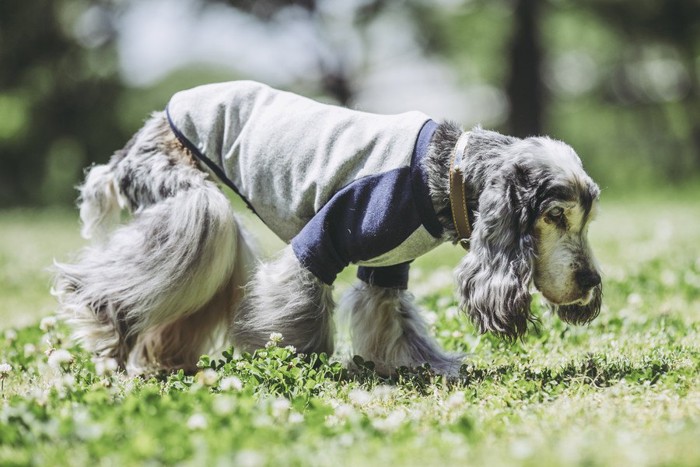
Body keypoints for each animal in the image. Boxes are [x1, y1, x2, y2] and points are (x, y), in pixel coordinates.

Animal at [53, 80, 600, 376]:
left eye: (588, 218)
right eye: (554, 216)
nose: (592, 281)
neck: (445, 172)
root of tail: (141, 134)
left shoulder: (389, 265)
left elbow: (393, 321)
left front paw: (426, 366)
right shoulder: (327, 236)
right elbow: (297, 302)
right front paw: (291, 356)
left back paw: (168, 358)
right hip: (191, 198)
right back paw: (105, 318)